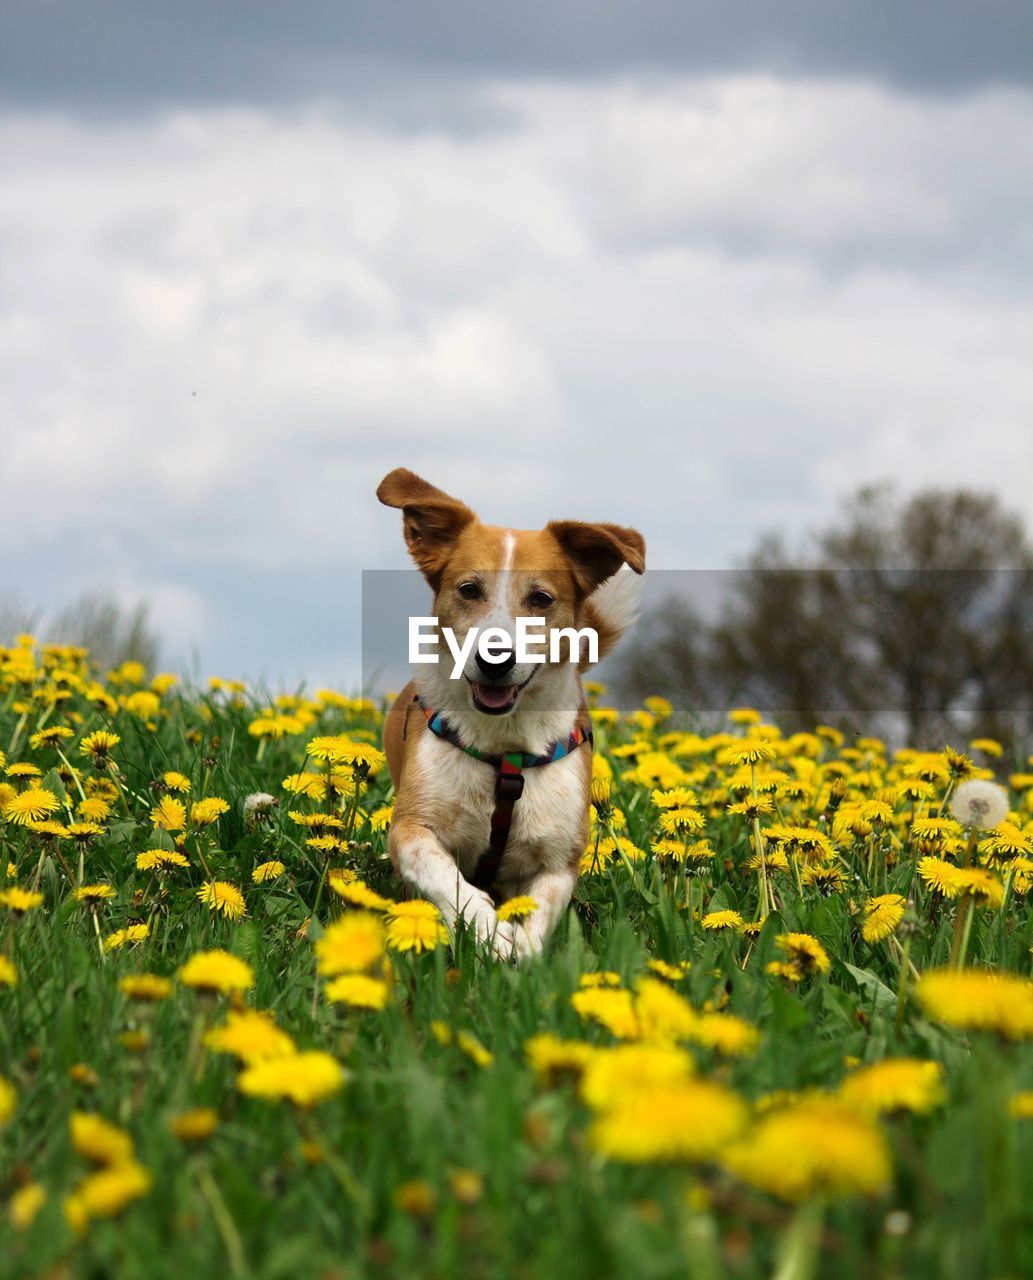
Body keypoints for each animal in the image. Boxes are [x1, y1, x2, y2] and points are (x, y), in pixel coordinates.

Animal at [376, 465, 642, 957]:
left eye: (541, 599)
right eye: (468, 589)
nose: (494, 659)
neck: (504, 747)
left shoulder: (558, 860)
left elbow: (538, 917)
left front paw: (518, 952)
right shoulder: (411, 829)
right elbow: (444, 875)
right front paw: (487, 931)